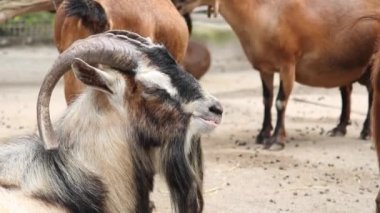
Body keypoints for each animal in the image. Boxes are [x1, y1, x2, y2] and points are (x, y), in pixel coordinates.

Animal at [174, 0, 380, 150]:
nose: (175, 4)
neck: (263, 10)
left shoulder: (288, 63)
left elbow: (281, 101)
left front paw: (276, 140)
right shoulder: (265, 68)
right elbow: (266, 99)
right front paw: (263, 134)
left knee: (371, 93)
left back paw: (366, 131)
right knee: (346, 91)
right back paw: (340, 127)